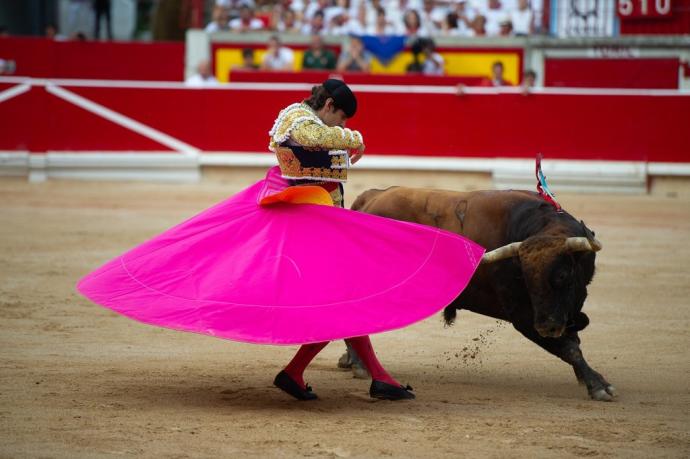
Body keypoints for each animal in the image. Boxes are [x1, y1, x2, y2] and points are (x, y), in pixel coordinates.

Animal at [352, 187, 616, 402]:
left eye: (563, 275)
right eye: (526, 278)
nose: (546, 326)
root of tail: (371, 198)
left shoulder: (568, 310)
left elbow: (573, 341)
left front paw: (587, 377)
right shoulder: (523, 316)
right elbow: (569, 348)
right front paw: (597, 385)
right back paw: (359, 365)